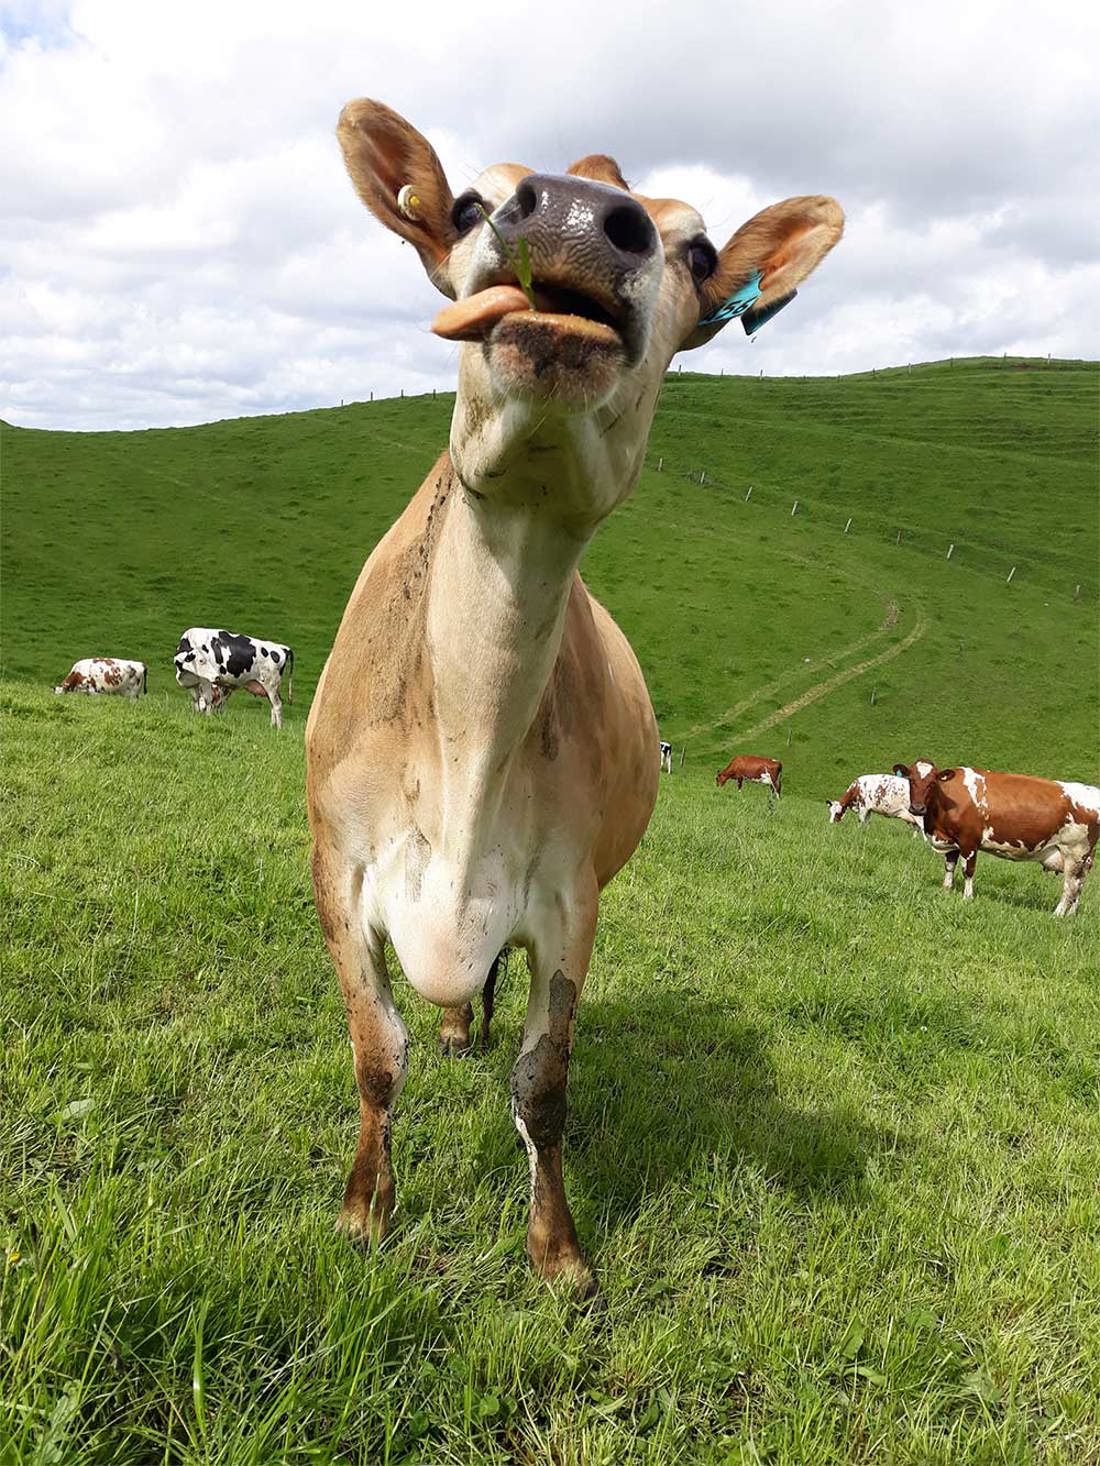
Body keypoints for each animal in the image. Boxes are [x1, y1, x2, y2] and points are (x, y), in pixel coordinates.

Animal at [306, 96, 842, 1292]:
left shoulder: (569, 899)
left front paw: (557, 1251)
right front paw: (366, 1207)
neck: (466, 737)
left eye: (699, 250)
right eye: (468, 203)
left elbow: (542, 1085)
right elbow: (376, 1054)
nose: (576, 215)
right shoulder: (339, 868)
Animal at [893, 760, 1100, 915]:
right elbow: (949, 866)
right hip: (1083, 859)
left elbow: (968, 871)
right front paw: (946, 890)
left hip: (1074, 853)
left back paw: (1057, 914)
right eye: (911, 780)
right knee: (1079, 885)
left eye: (932, 783)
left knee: (1070, 886)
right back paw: (1071, 915)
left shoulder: (969, 841)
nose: (917, 808)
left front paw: (967, 898)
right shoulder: (952, 840)